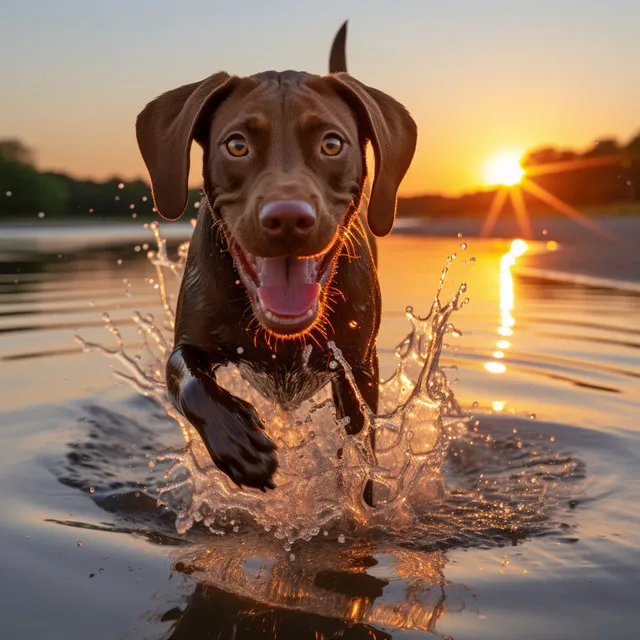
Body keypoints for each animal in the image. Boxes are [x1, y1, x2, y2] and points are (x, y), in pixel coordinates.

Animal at [135, 22, 418, 500]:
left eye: (331, 143)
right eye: (236, 145)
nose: (288, 218)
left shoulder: (358, 368)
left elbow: (359, 449)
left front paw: (352, 498)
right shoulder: (189, 340)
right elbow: (183, 374)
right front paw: (237, 440)